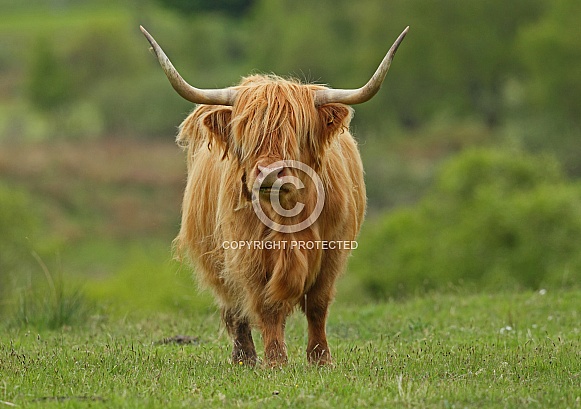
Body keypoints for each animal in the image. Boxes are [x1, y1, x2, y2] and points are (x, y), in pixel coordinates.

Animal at [140, 25, 406, 364]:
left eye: (297, 132)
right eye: (246, 133)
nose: (268, 172)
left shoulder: (333, 251)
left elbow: (317, 305)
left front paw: (320, 359)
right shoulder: (247, 254)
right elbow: (266, 307)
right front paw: (276, 360)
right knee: (234, 309)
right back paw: (244, 358)